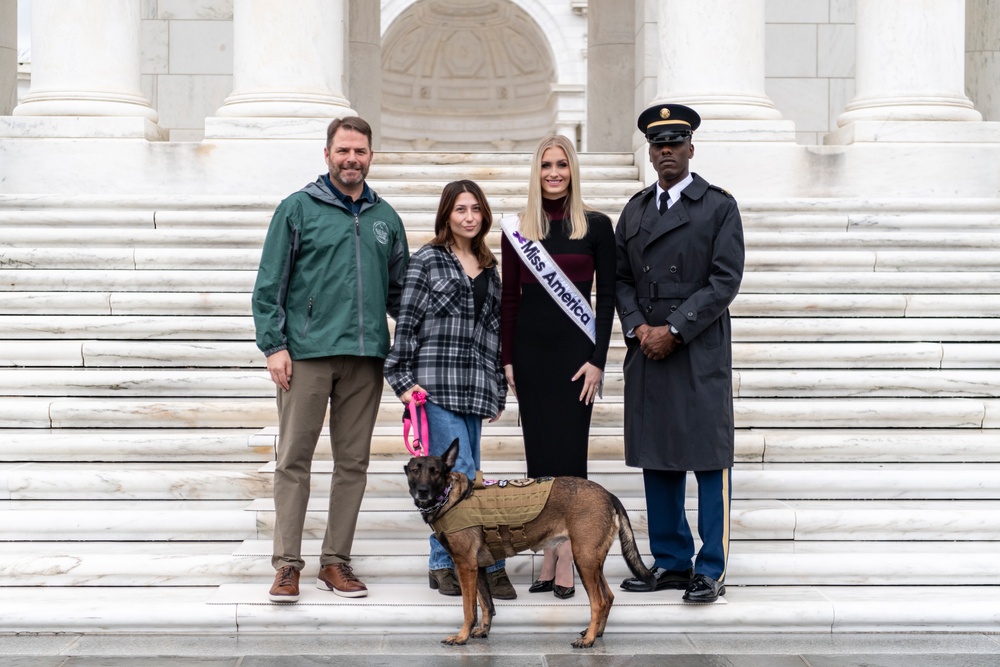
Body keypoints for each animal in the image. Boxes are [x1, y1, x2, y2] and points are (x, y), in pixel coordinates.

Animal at [406, 438, 656, 648]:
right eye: (415, 471)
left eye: (436, 472)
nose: (423, 491)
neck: (451, 497)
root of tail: (608, 495)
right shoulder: (478, 568)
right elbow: (486, 604)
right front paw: (483, 631)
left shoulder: (466, 566)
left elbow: (469, 609)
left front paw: (462, 636)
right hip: (593, 562)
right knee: (609, 597)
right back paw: (596, 633)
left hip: (584, 560)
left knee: (599, 602)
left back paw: (589, 640)